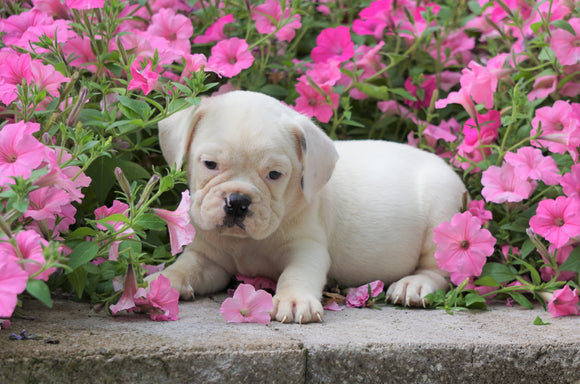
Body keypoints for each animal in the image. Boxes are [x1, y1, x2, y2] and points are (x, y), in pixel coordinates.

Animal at [150, 91, 466, 324]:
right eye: (210, 164)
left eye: (274, 174)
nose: (238, 202)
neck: (247, 243)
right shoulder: (208, 257)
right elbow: (185, 268)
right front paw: (160, 283)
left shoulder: (307, 248)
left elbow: (298, 273)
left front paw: (293, 300)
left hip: (440, 222)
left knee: (440, 271)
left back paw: (414, 284)